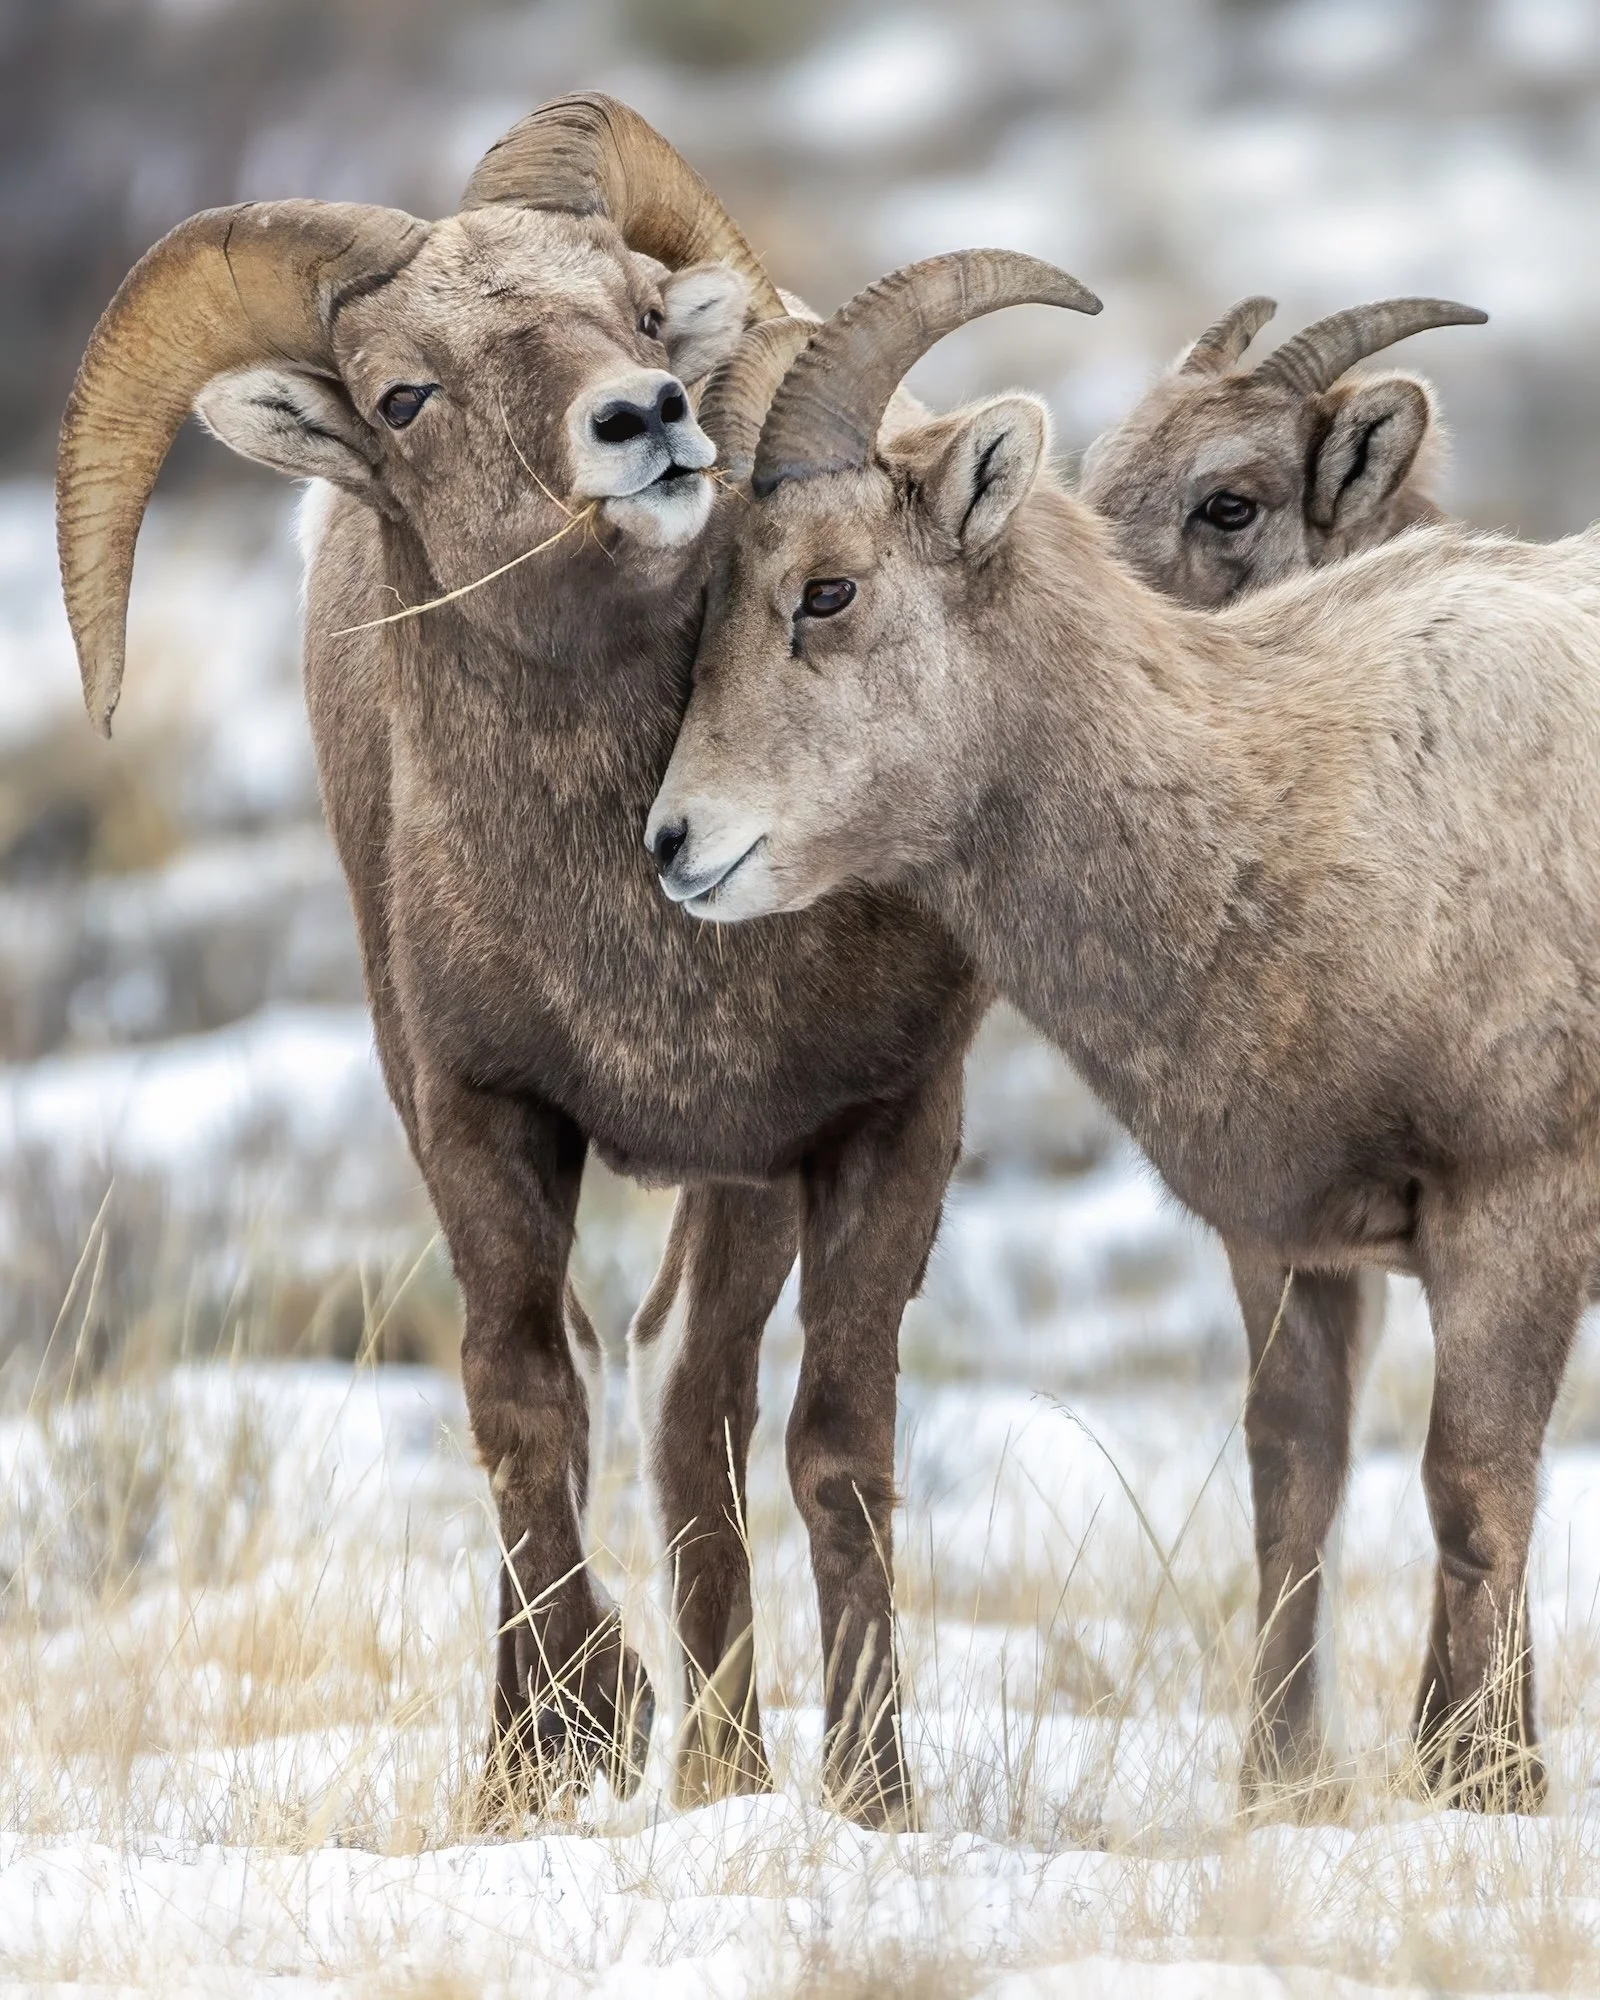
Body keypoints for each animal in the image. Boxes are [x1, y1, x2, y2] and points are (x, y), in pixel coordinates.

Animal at [55, 96, 990, 1831]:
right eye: (403, 395)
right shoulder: (478, 1113)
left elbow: (837, 1448)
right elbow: (520, 1404)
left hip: (740, 1186)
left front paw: (875, 1798)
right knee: (614, 1392)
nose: (649, 420)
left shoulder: (874, 1127)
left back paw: (729, 1772)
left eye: (640, 307)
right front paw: (563, 1744)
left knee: (694, 1409)